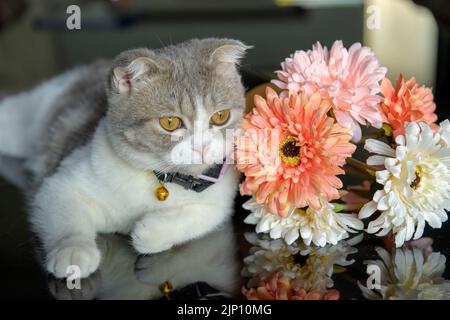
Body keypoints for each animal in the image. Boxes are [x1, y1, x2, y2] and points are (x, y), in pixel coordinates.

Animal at [0, 37, 250, 278]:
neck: (159, 180)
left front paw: (150, 230)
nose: (202, 147)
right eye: (170, 122)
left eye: (220, 116)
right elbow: (65, 217)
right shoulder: (58, 184)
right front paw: (73, 250)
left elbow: (202, 215)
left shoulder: (219, 198)